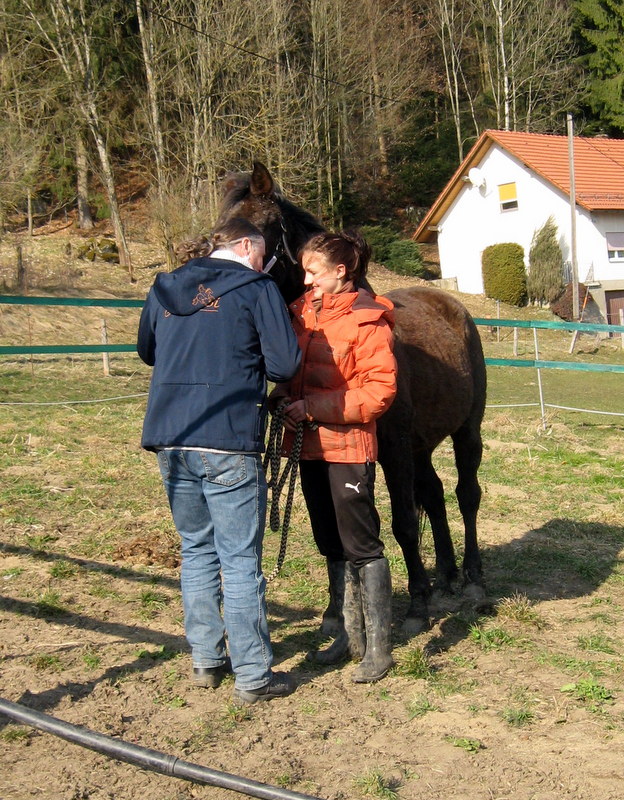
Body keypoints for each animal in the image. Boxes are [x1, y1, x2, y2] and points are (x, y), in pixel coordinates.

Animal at [214, 162, 488, 634]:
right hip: (421, 446)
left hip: (465, 432)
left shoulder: (393, 449)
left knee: (466, 494)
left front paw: (416, 606)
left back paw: (471, 579)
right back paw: (446, 576)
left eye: (261, 227)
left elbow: (401, 524)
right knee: (434, 495)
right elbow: (341, 536)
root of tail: (453, 306)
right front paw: (338, 615)